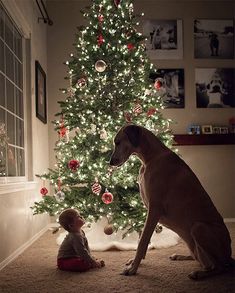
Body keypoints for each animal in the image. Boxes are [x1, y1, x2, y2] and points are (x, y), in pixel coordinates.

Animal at [109, 124, 233, 278]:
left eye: (118, 142)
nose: (110, 162)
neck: (151, 157)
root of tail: (230, 257)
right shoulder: (149, 211)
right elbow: (142, 238)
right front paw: (134, 262)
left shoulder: (154, 209)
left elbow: (143, 241)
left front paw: (133, 269)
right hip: (193, 244)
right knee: (203, 261)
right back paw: (181, 257)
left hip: (199, 228)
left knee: (220, 267)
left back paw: (199, 274)